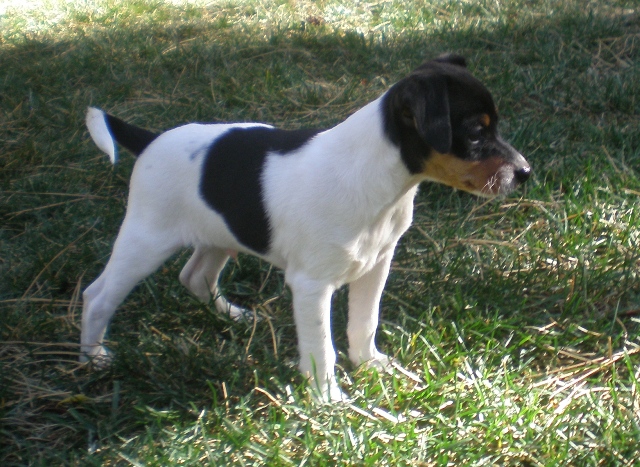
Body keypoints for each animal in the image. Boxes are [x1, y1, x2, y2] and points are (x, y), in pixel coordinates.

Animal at [80, 53, 528, 400]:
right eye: (475, 131)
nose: (525, 172)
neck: (379, 180)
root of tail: (151, 140)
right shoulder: (312, 285)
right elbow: (321, 348)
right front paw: (328, 399)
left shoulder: (376, 264)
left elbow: (365, 322)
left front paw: (371, 364)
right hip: (145, 240)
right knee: (97, 296)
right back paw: (94, 359)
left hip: (221, 233)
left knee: (195, 276)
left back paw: (233, 316)